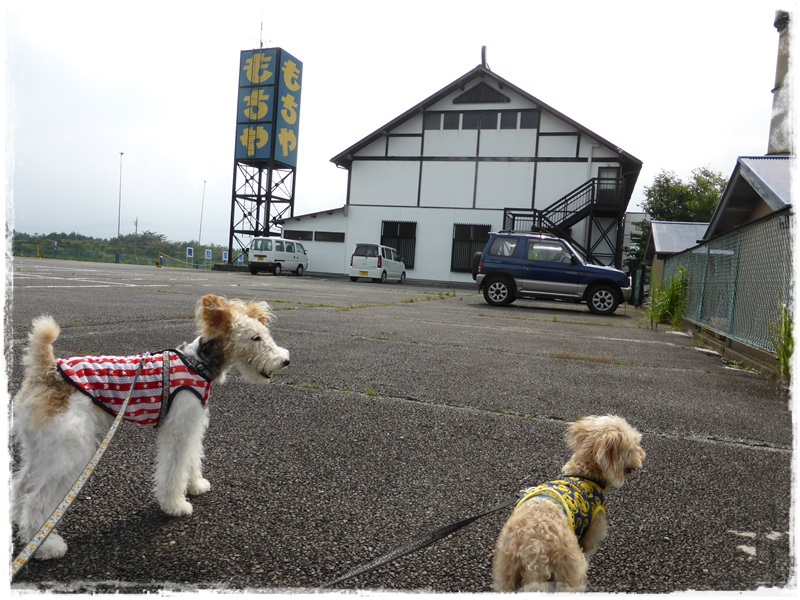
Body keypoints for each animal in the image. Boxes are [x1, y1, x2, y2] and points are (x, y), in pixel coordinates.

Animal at [11, 292, 290, 560]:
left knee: (21, 486)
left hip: (41, 447)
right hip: (70, 452)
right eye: (255, 337)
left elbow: (192, 459)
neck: (198, 364)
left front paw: (195, 485)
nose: (285, 361)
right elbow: (173, 471)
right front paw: (176, 505)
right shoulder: (178, 431)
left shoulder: (193, 426)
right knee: (36, 499)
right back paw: (46, 546)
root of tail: (46, 369)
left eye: (264, 334)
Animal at [490, 414, 648, 592]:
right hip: (568, 569)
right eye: (634, 447)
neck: (584, 476)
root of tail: (534, 549)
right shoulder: (591, 534)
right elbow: (588, 552)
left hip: (507, 572)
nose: (644, 454)